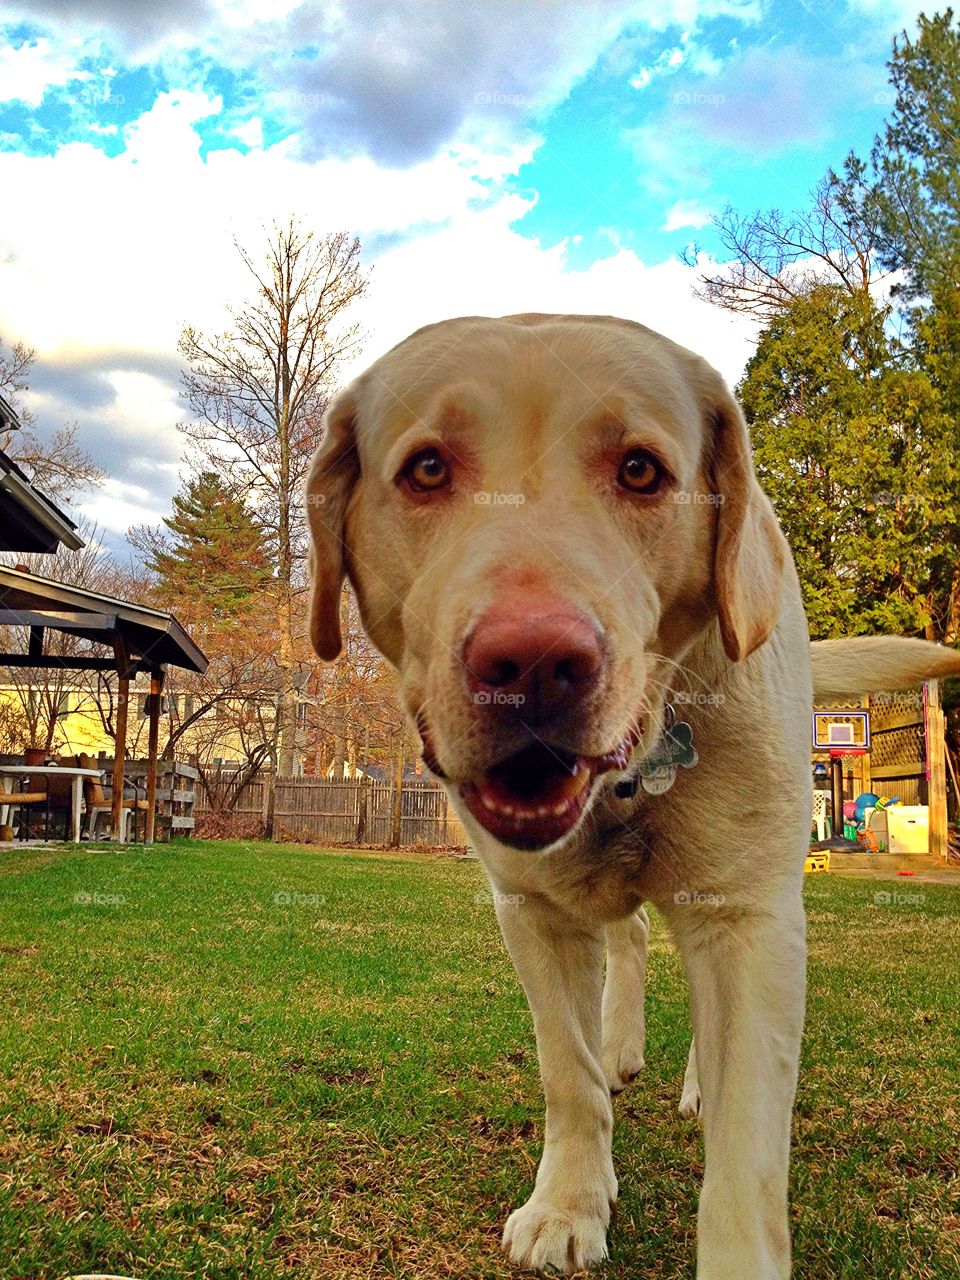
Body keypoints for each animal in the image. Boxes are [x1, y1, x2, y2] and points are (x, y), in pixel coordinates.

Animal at [305, 312, 960, 1280]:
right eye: (426, 468)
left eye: (642, 470)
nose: (533, 663)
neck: (636, 765)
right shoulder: (531, 911)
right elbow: (566, 1072)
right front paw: (567, 1203)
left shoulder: (750, 916)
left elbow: (747, 1147)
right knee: (632, 940)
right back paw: (620, 1047)